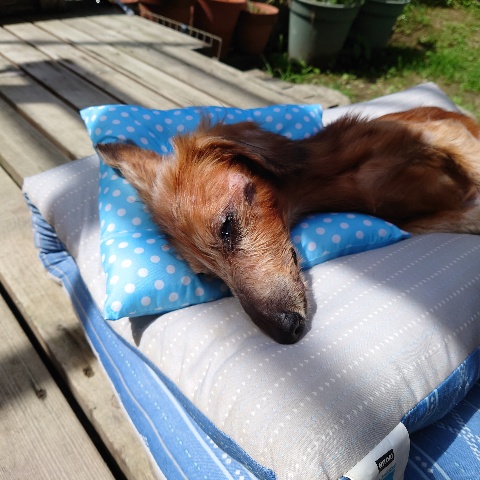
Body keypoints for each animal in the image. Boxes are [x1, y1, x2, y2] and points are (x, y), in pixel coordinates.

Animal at [97, 106, 480, 344]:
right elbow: (462, 219)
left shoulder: (444, 135)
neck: (338, 181)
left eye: (227, 227)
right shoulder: (414, 218)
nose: (284, 333)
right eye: (208, 276)